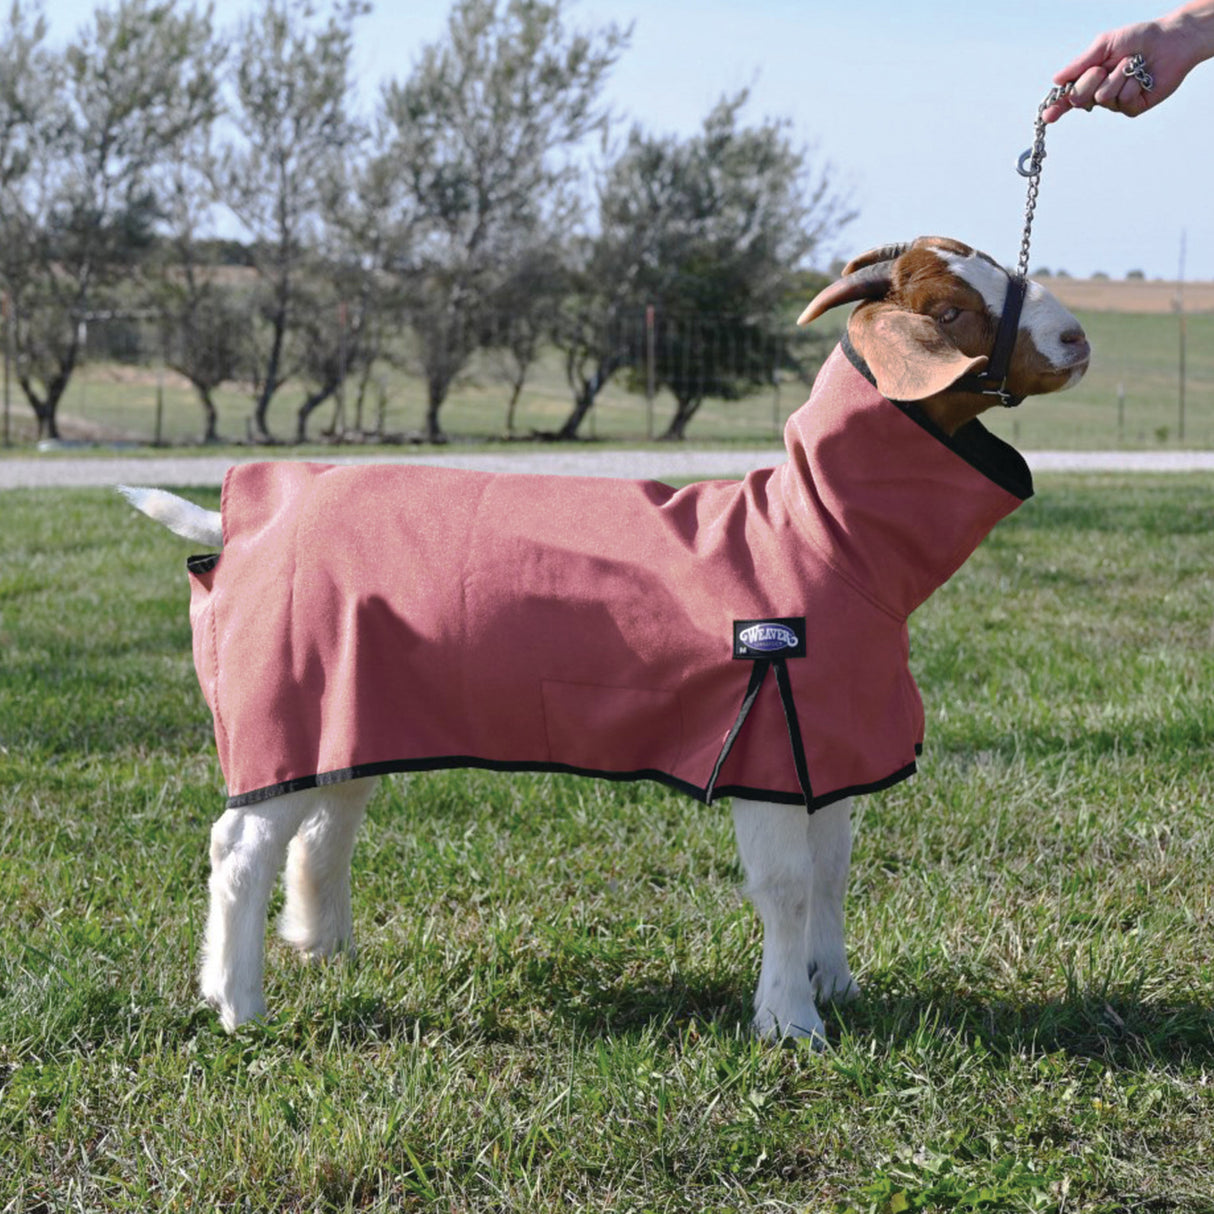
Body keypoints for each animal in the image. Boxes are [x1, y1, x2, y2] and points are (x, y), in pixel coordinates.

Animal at [122, 236, 1089, 1042]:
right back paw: (238, 1004)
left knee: (329, 816)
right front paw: (790, 1022)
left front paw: (836, 983)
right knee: (240, 848)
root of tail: (244, 519)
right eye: (950, 312)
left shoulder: (828, 741)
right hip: (277, 698)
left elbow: (834, 870)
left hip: (347, 703)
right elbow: (785, 887)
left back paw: (322, 945)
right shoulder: (767, 739)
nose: (1077, 338)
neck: (816, 534)